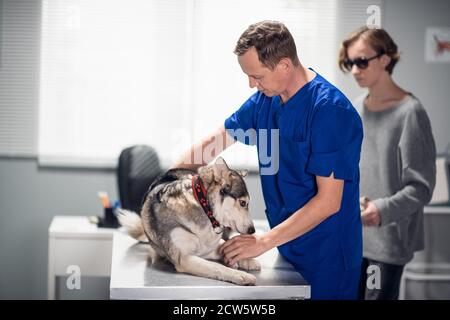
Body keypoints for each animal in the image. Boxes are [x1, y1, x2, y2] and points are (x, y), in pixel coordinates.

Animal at [117, 157, 260, 284]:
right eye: (243, 203)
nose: (252, 230)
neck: (204, 208)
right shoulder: (184, 258)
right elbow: (216, 267)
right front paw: (240, 275)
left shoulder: (209, 247)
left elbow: (226, 246)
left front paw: (247, 260)